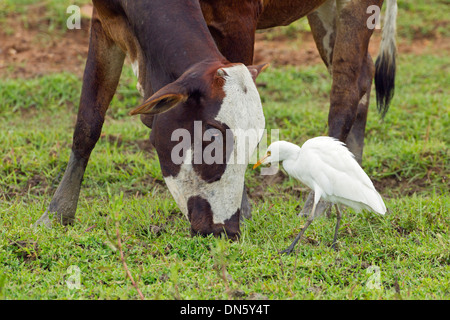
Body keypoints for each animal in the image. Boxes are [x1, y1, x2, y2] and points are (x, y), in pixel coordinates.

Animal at [36, 0, 268, 240]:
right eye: (212, 134)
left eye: (256, 140)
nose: (225, 231)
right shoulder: (103, 20)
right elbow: (87, 124)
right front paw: (57, 212)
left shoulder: (239, 20)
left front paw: (245, 211)